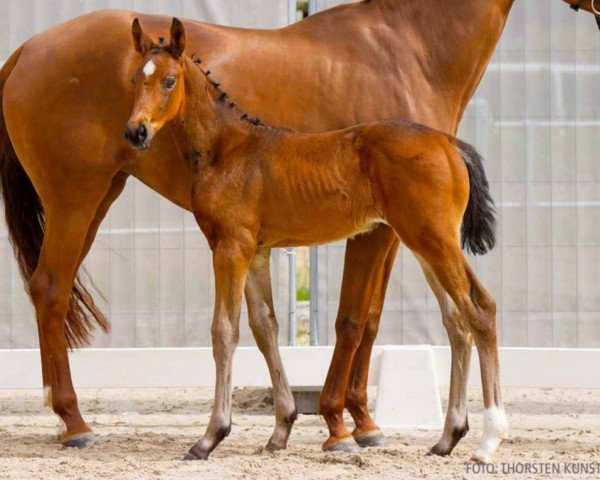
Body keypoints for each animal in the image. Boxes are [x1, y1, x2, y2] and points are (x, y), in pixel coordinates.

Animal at [126, 19, 506, 464]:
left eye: (168, 80)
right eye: (134, 79)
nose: (135, 132)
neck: (227, 150)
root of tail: (448, 143)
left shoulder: (229, 247)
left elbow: (224, 331)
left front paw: (210, 437)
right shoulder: (256, 251)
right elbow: (265, 328)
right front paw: (280, 430)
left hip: (434, 240)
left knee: (480, 310)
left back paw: (489, 440)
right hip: (424, 243)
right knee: (457, 321)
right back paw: (448, 438)